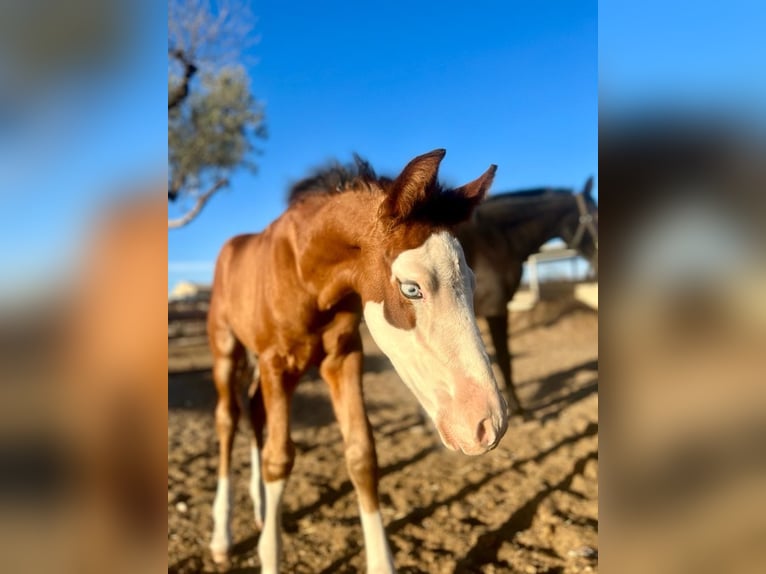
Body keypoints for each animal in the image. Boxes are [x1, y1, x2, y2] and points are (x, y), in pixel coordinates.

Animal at [204, 151, 510, 572]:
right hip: (227, 349)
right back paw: (222, 536)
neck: (305, 273)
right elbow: (279, 458)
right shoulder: (276, 364)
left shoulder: (343, 357)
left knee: (253, 411)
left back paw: (261, 510)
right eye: (411, 288)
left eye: (472, 282)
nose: (487, 425)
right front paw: (268, 555)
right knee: (228, 419)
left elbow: (361, 454)